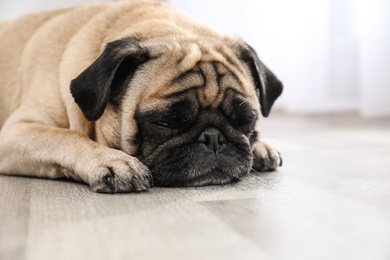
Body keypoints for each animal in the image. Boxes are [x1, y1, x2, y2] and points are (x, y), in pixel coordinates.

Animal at [0, 0, 282, 191]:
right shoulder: (17, 131)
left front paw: (260, 147)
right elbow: (67, 137)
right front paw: (113, 161)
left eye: (246, 120)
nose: (213, 138)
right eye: (164, 123)